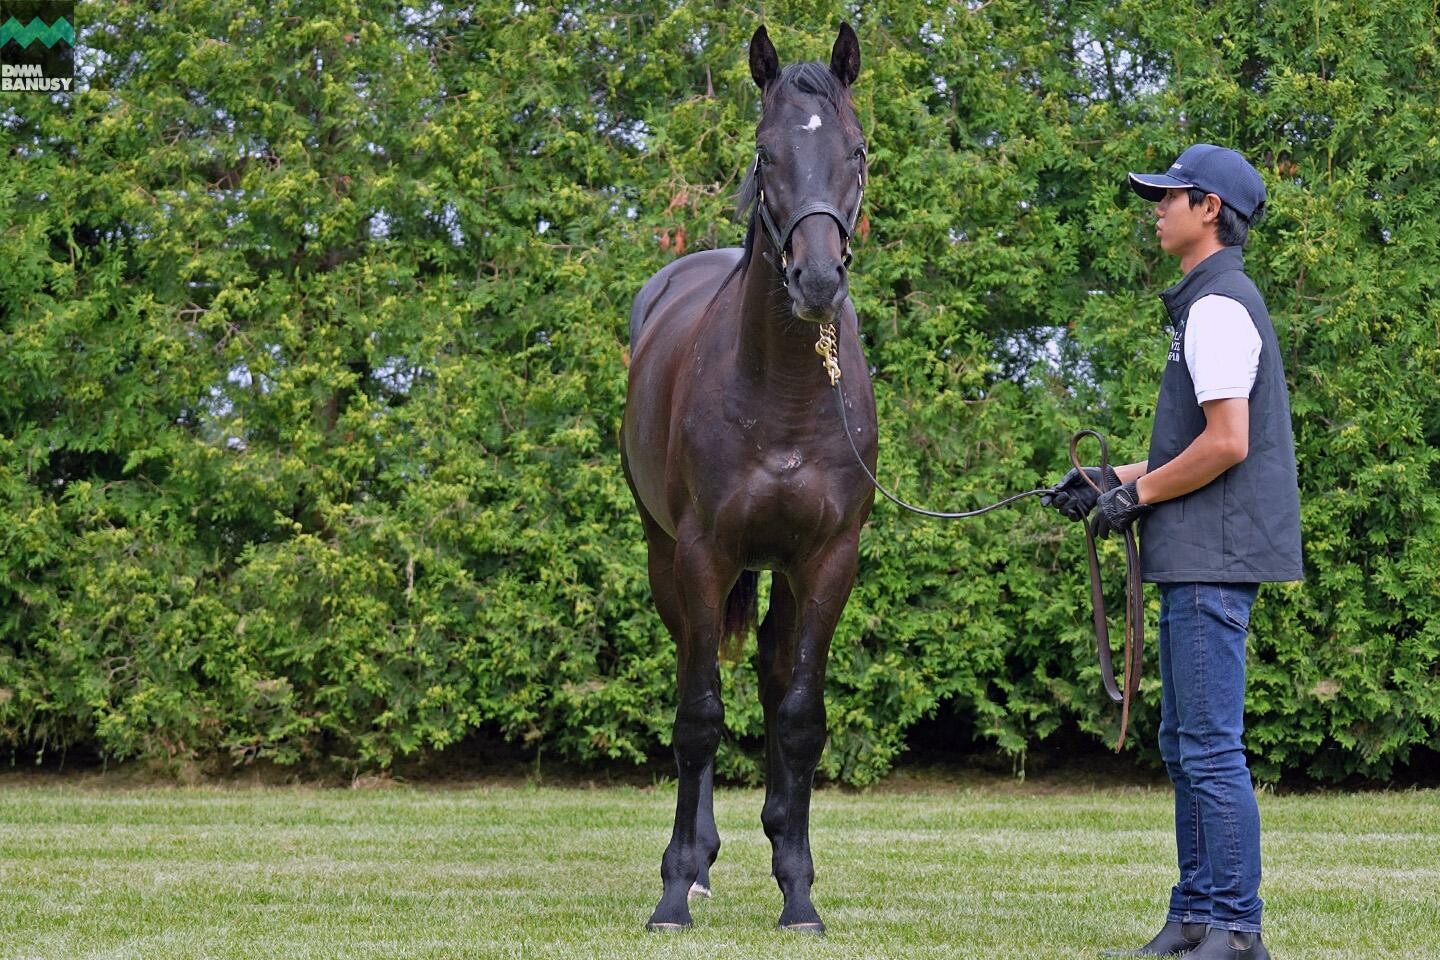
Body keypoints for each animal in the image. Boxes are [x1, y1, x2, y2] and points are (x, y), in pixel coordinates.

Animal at [619, 24, 875, 938]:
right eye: (767, 154)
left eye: (856, 150)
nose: (817, 281)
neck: (788, 395)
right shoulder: (703, 555)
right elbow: (698, 718)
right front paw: (670, 892)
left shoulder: (829, 560)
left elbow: (799, 717)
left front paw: (799, 894)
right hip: (668, 560)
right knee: (696, 675)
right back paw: (695, 865)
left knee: (768, 670)